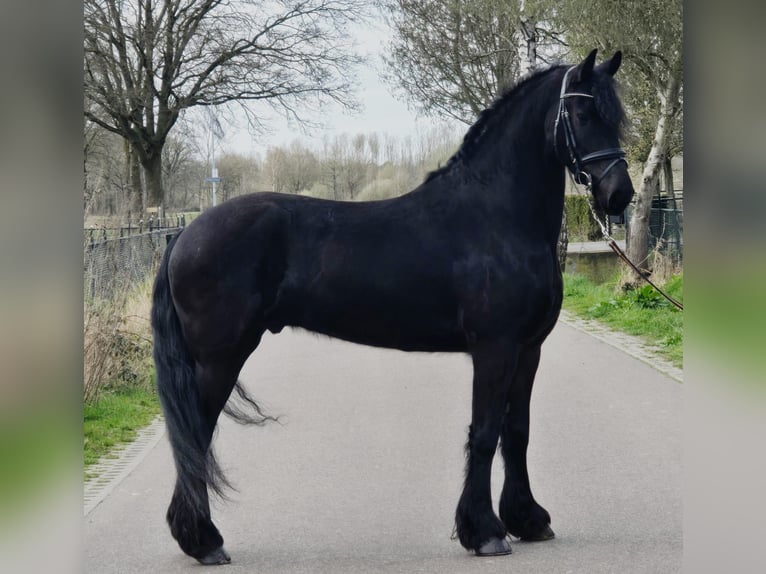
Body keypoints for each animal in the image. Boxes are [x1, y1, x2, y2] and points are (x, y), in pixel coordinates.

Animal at [151, 49, 633, 565]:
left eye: (616, 117)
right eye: (581, 113)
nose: (619, 194)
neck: (498, 218)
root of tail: (185, 233)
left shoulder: (529, 349)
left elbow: (516, 432)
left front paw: (528, 519)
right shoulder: (495, 348)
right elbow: (485, 433)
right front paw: (484, 531)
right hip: (218, 359)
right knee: (195, 436)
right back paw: (204, 541)